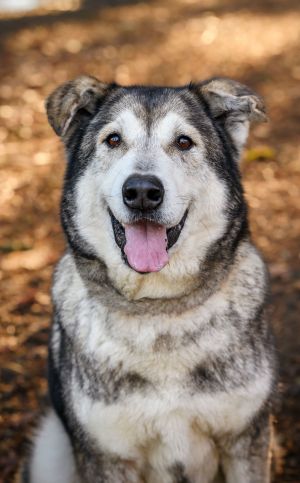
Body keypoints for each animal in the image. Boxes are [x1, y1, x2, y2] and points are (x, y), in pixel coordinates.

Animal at [20, 75, 276, 483]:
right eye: (113, 140)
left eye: (184, 142)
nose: (141, 191)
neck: (158, 310)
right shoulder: (107, 456)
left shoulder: (246, 439)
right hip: (50, 451)